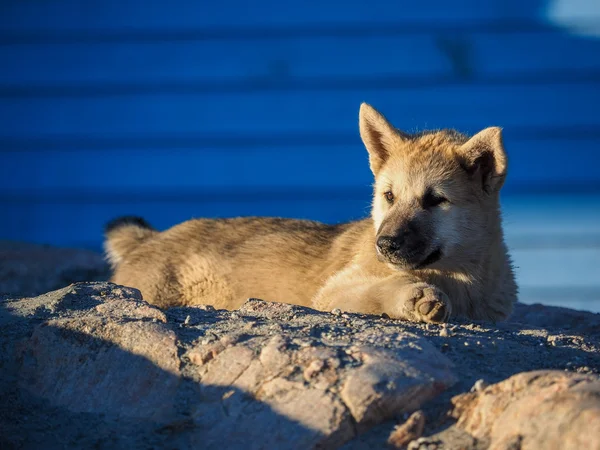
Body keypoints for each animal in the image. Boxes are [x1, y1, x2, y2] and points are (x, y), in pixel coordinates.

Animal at [102, 103, 516, 322]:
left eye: (435, 200)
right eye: (389, 196)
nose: (385, 245)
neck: (462, 279)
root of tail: (149, 239)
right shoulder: (332, 293)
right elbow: (380, 289)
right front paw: (414, 297)